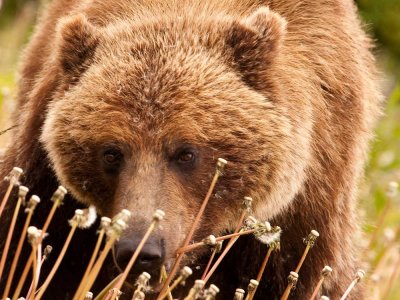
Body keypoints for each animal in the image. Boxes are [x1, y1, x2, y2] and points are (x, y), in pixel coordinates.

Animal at [0, 0, 382, 298]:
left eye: (186, 152)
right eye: (110, 152)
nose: (140, 250)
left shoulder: (306, 205)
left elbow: (304, 277)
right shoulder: (45, 176)